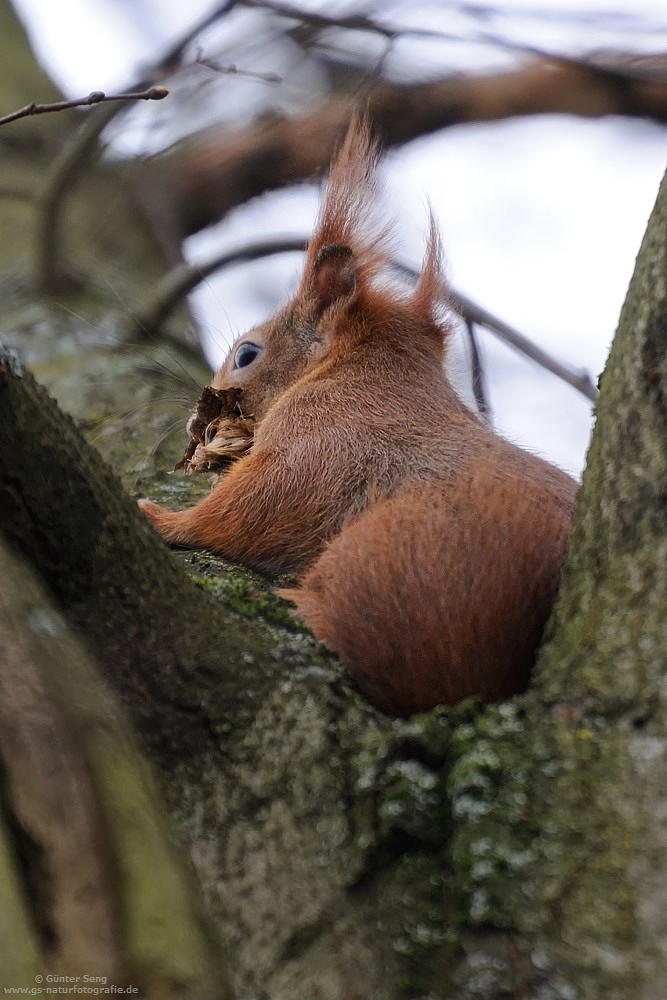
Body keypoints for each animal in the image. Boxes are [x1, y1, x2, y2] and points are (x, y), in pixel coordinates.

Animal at [141, 117, 580, 720]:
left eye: (246, 354)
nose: (195, 419)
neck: (356, 374)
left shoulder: (323, 437)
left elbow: (248, 508)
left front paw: (165, 518)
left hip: (387, 563)